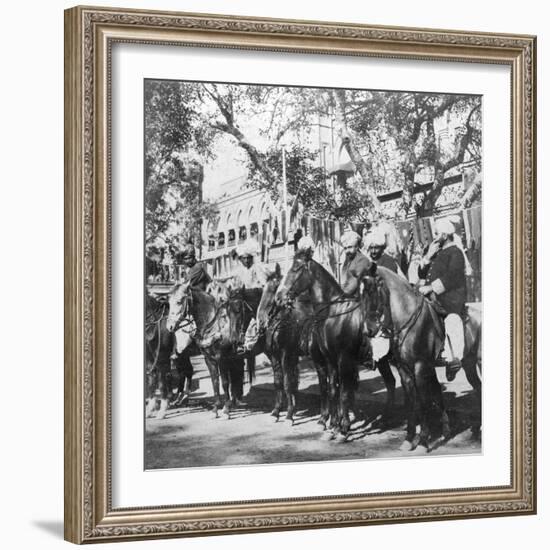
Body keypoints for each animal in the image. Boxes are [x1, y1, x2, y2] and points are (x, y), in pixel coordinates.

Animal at [278, 252, 382, 442]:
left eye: (296, 268)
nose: (279, 296)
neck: (334, 314)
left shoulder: (343, 360)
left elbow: (344, 393)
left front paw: (343, 429)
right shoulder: (330, 360)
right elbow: (333, 390)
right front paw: (334, 426)